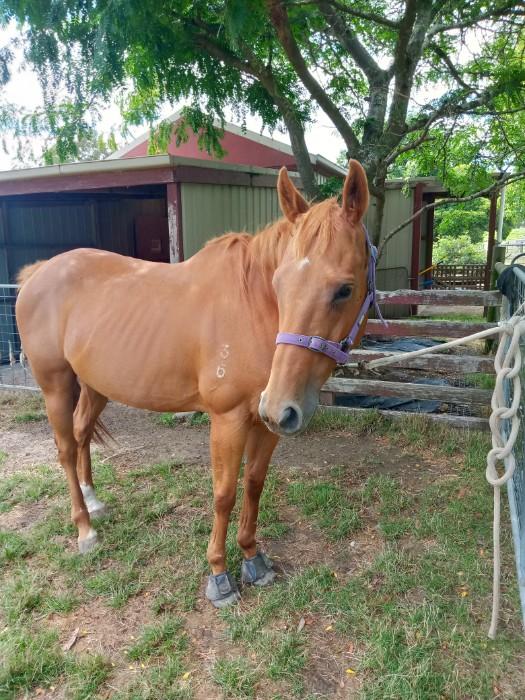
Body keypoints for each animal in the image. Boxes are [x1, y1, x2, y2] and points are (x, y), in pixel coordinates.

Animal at [15, 159, 372, 607]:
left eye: (344, 289)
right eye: (279, 286)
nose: (283, 405)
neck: (252, 306)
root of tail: (37, 273)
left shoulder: (267, 423)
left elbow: (254, 485)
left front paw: (253, 558)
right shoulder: (228, 419)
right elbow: (224, 494)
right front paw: (219, 575)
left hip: (95, 386)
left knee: (81, 435)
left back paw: (94, 501)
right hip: (56, 385)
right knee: (64, 449)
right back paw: (85, 530)